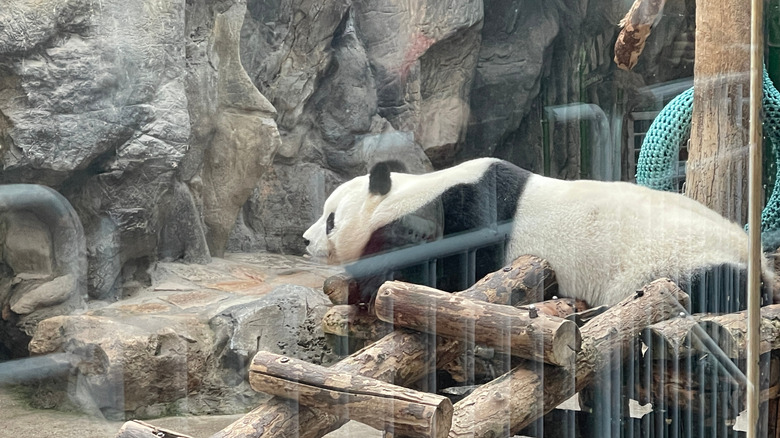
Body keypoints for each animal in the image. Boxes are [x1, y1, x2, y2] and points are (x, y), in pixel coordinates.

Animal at [303, 157, 777, 313]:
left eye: (330, 219)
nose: (306, 240)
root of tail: (758, 263)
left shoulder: (464, 221)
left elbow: (440, 276)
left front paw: (364, 288)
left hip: (673, 261)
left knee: (715, 285)